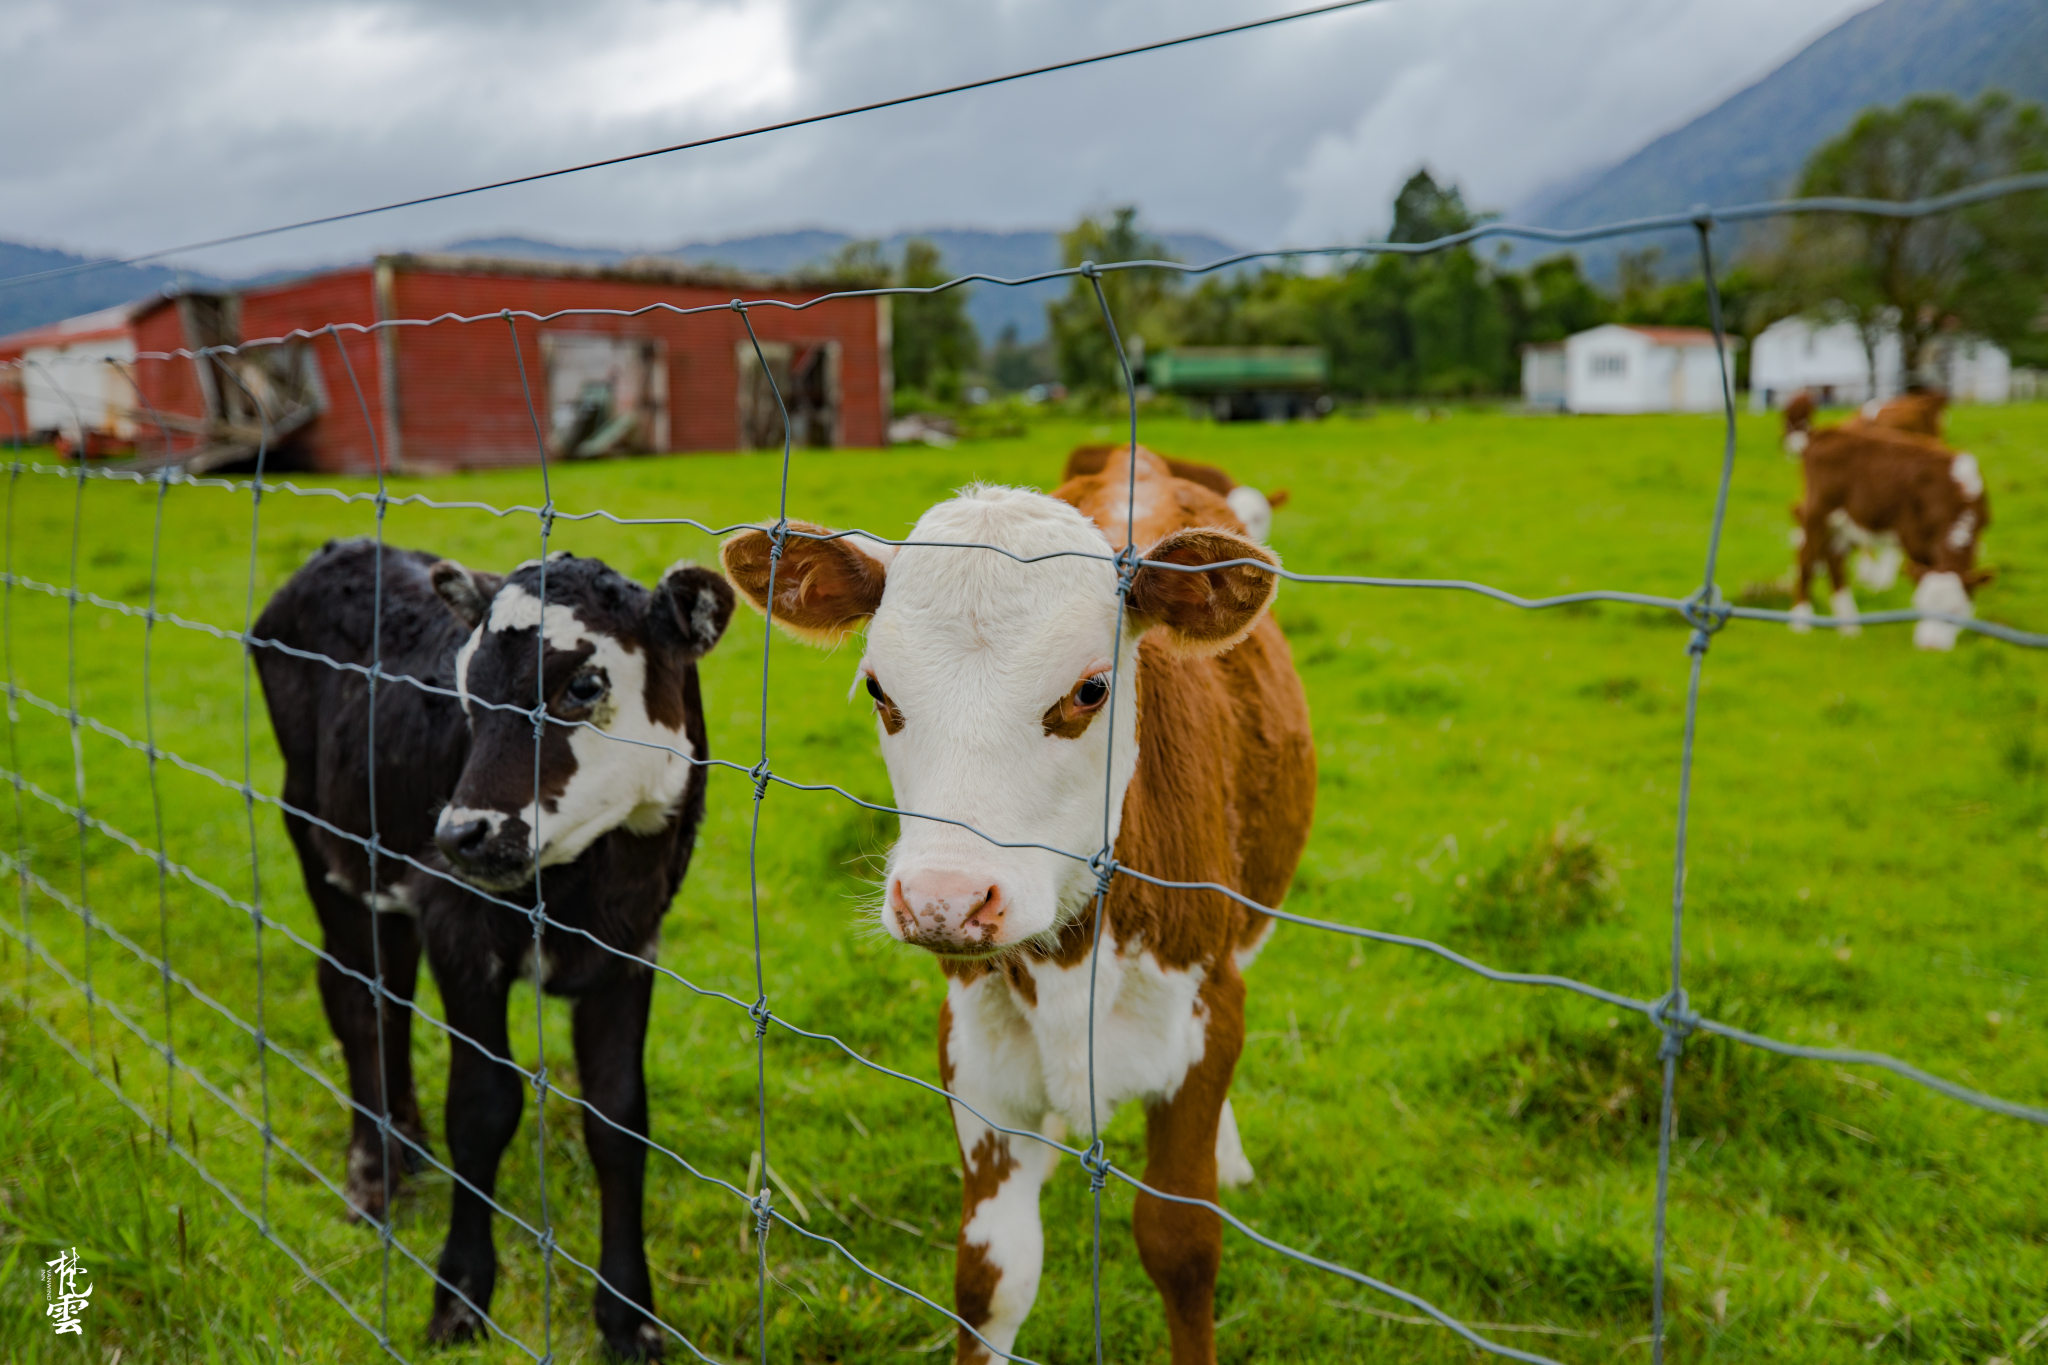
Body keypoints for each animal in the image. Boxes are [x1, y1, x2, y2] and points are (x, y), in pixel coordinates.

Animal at [252, 540, 737, 1358]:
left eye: (583, 684)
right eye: (465, 688)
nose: (458, 834)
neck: (593, 884)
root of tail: (341, 550)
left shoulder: (632, 945)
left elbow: (618, 1117)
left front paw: (630, 1317)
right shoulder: (458, 924)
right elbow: (482, 1107)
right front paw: (458, 1297)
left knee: (390, 997)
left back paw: (406, 1142)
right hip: (319, 837)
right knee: (355, 1000)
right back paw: (373, 1176)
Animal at [720, 448, 1310, 1365]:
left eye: (1091, 689)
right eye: (878, 688)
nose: (945, 900)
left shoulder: (1206, 1015)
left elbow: (1181, 1243)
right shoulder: (975, 1050)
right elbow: (991, 1275)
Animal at [1785, 403, 1990, 650]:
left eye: (1956, 612)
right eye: (1921, 605)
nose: (1929, 647)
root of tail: (1825, 433)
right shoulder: (1912, 535)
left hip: (1843, 522)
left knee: (1835, 561)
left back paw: (1849, 626)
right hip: (1817, 512)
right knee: (1807, 558)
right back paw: (1801, 621)